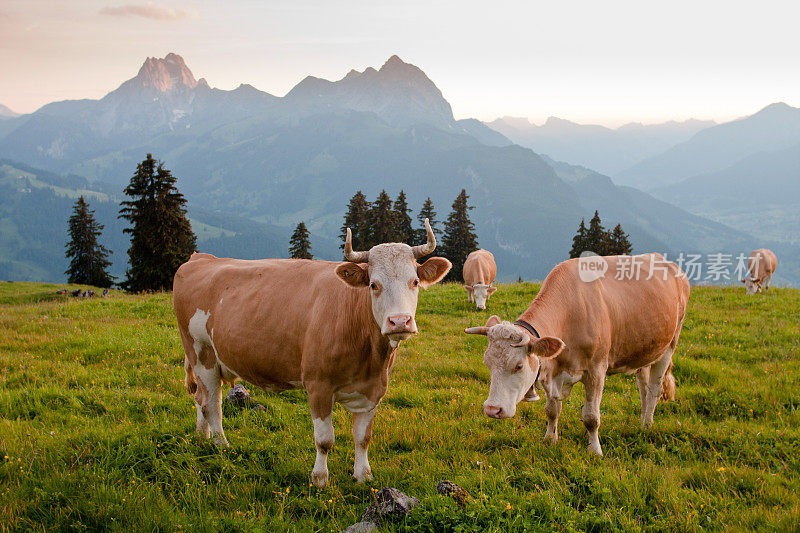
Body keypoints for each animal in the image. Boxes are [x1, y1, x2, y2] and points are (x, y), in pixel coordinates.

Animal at [173, 218, 450, 484]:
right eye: (373, 284)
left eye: (415, 282)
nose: (399, 321)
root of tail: (201, 258)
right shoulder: (318, 385)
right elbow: (325, 439)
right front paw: (319, 478)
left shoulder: (374, 389)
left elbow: (363, 437)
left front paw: (363, 475)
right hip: (201, 353)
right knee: (211, 404)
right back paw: (221, 445)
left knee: (201, 399)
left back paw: (202, 437)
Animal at [466, 252, 692, 454]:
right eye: (487, 364)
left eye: (518, 366)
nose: (492, 409)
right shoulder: (551, 370)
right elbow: (551, 411)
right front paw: (549, 440)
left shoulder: (596, 371)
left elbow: (591, 417)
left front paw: (595, 450)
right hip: (644, 350)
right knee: (643, 387)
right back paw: (643, 420)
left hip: (669, 345)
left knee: (654, 388)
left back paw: (647, 425)